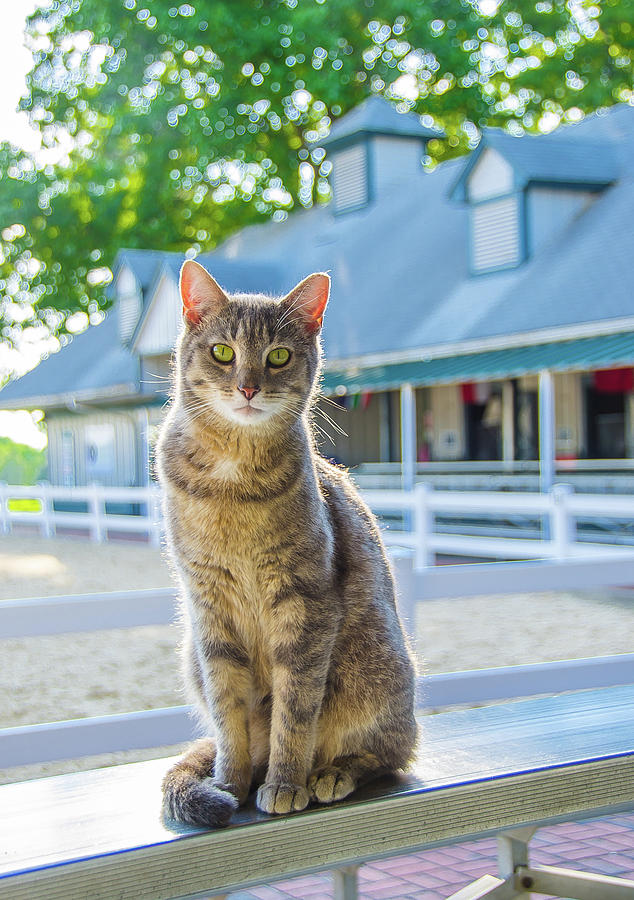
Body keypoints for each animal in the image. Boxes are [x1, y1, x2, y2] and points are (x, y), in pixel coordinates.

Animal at [156, 256, 418, 828]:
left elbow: (294, 714)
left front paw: (284, 782)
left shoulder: (305, 603)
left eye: (278, 356)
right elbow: (229, 714)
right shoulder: (209, 607)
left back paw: (332, 773)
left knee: (389, 752)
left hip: (377, 668)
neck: (231, 479)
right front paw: (229, 783)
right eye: (223, 352)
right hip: (191, 654)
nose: (249, 388)